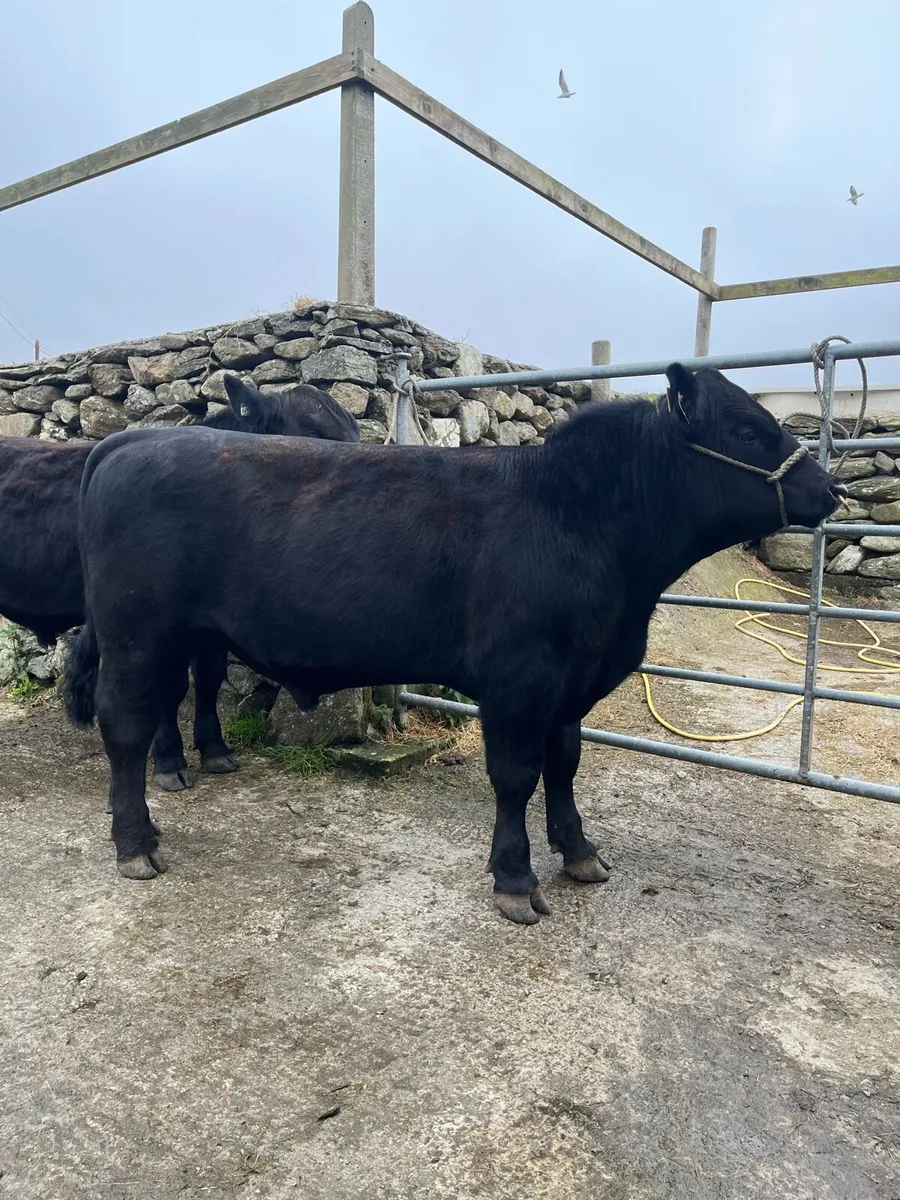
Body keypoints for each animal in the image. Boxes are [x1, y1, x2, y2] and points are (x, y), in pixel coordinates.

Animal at [64, 364, 847, 922]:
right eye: (747, 429)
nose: (829, 488)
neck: (579, 519)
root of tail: (132, 440)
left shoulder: (572, 683)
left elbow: (565, 766)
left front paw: (580, 852)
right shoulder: (519, 680)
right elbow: (516, 777)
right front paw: (515, 878)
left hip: (176, 637)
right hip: (138, 635)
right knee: (125, 727)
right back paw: (136, 844)